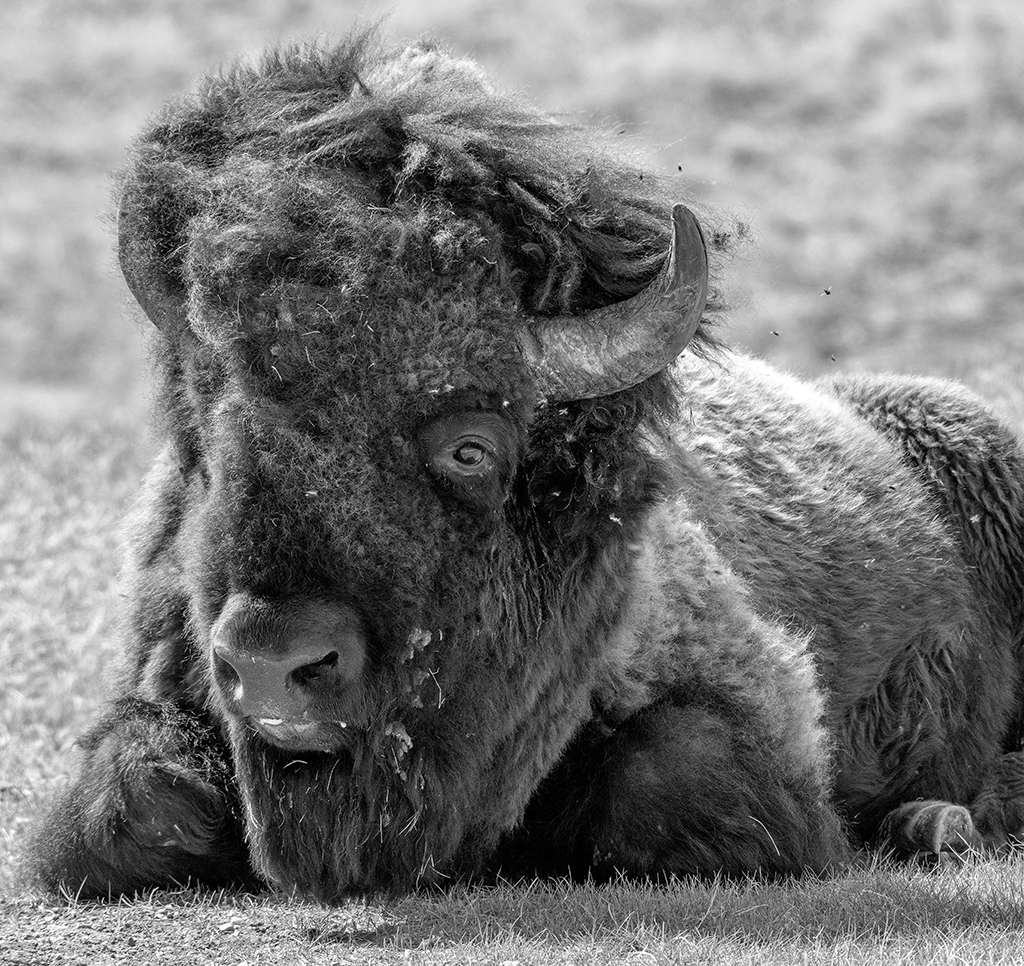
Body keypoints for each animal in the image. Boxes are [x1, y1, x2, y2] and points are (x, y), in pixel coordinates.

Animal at [32, 32, 1024, 902]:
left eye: (471, 447)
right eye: (212, 434)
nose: (276, 664)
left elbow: (669, 775)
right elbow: (123, 806)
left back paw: (934, 824)